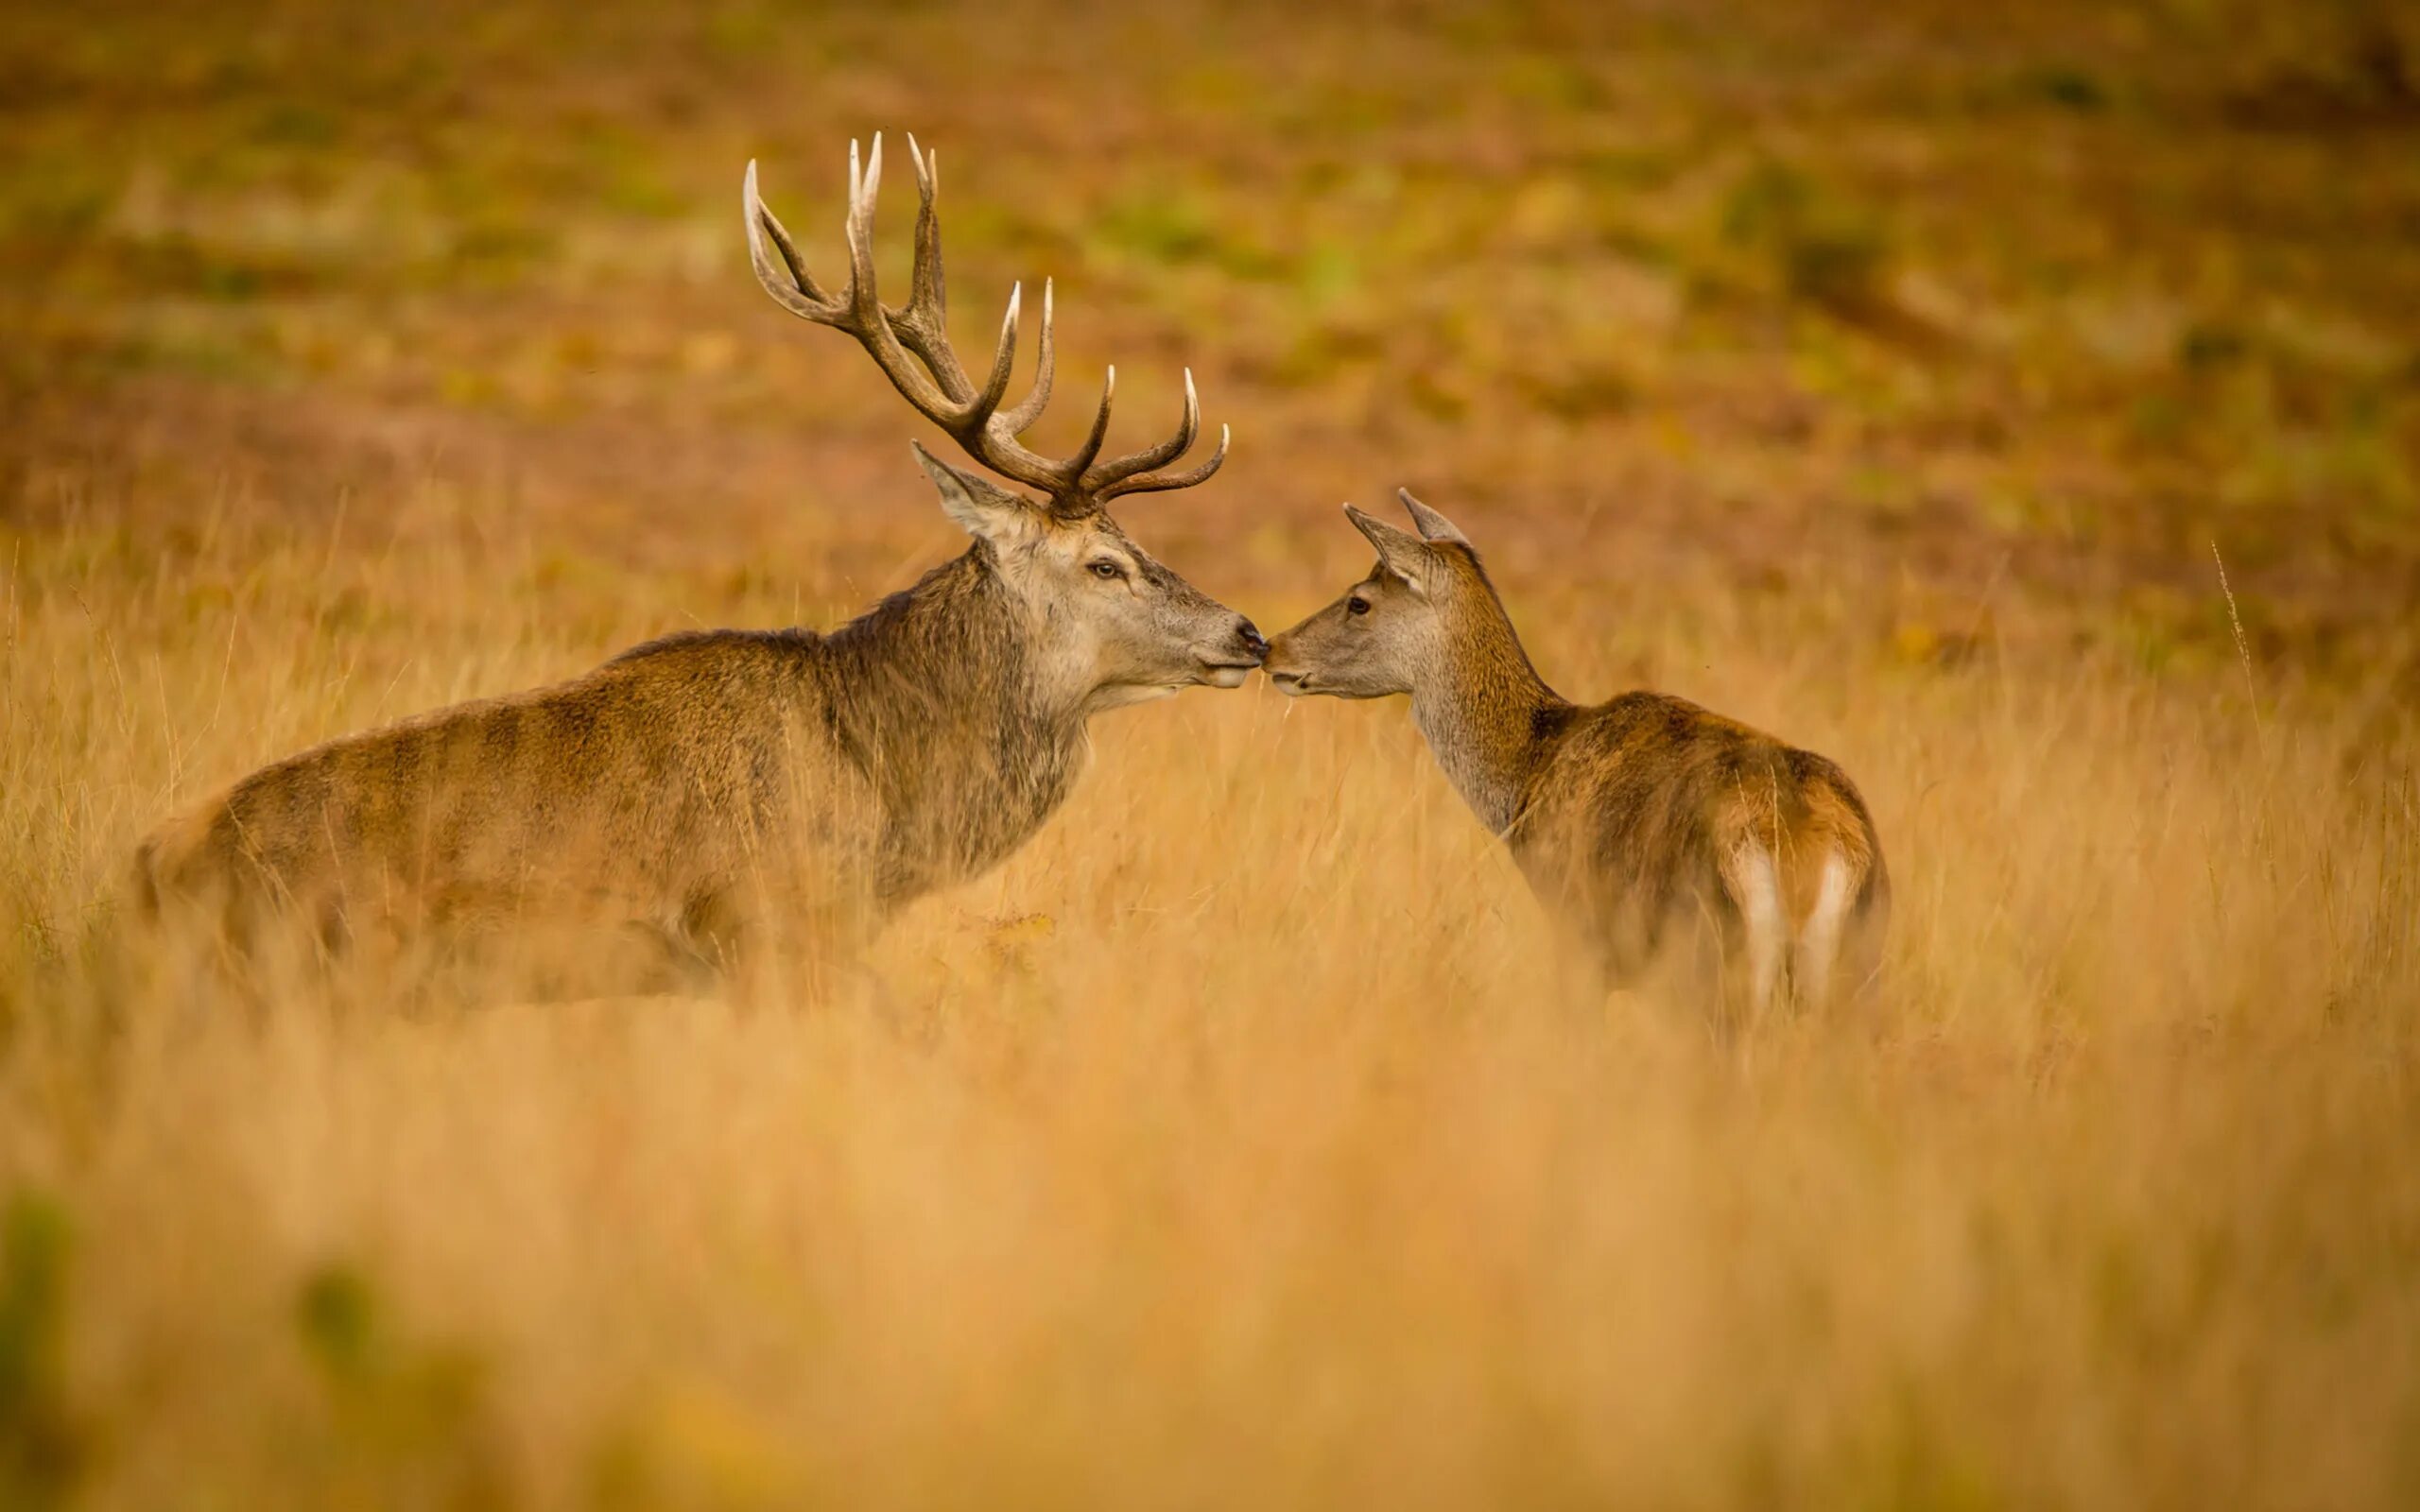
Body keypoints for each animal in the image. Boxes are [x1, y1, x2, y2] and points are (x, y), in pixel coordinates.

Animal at [1268, 495, 1887, 1025]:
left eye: (1359, 601)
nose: (1272, 648)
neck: (1527, 776)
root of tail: (1807, 852)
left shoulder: (1576, 932)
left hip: (1708, 962)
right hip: (1858, 970)